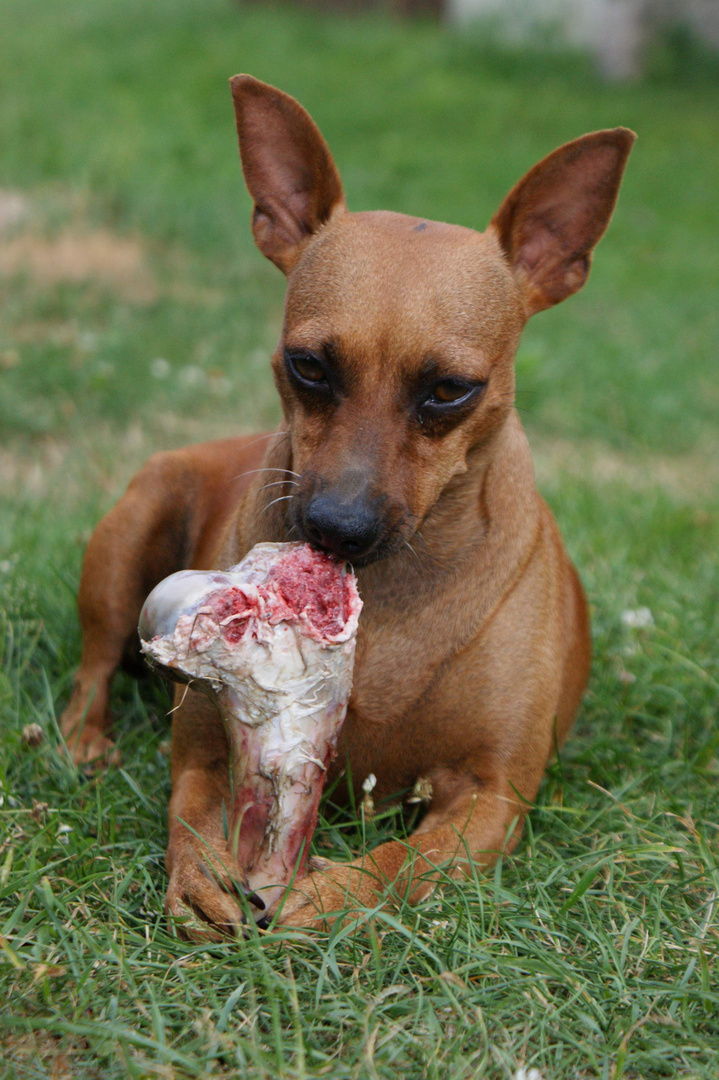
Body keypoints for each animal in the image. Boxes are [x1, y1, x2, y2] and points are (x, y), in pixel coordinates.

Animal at [61, 76, 634, 937]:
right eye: (307, 365)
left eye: (450, 389)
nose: (337, 529)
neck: (389, 599)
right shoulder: (201, 751)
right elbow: (191, 811)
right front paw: (200, 877)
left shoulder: (490, 796)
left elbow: (402, 861)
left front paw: (333, 894)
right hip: (128, 537)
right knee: (94, 663)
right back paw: (80, 740)